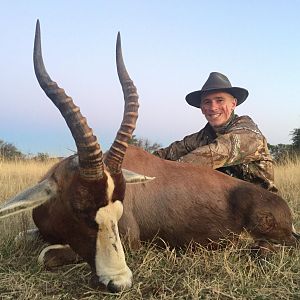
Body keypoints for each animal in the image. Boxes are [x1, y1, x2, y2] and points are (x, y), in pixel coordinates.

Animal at [0, 20, 300, 292]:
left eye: (118, 211)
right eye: (79, 209)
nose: (119, 282)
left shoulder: (130, 240)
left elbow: (44, 255)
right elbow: (20, 238)